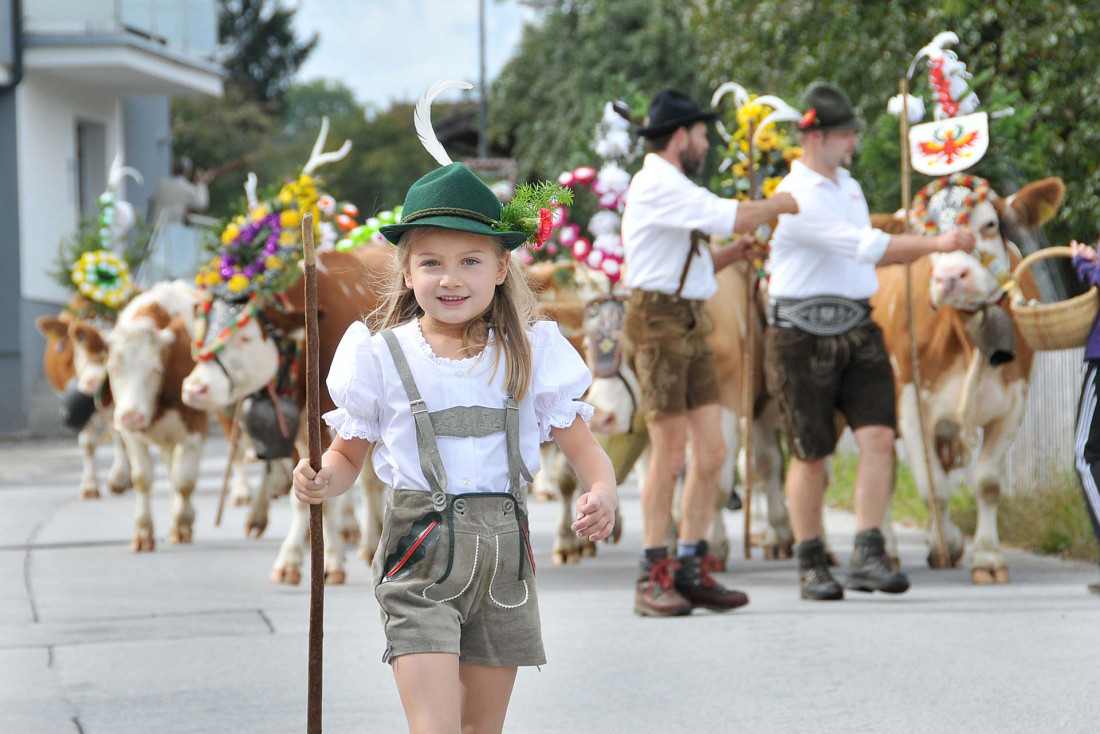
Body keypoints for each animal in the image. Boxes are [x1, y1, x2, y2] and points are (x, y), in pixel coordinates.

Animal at [107, 281, 210, 550]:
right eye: (112, 368)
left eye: (156, 369)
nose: (131, 416)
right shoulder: (130, 433)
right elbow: (142, 478)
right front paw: (143, 533)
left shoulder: (196, 426)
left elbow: (185, 480)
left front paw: (182, 524)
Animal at [178, 246, 389, 585]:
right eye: (204, 332)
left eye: (246, 337)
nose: (195, 388)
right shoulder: (303, 429)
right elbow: (302, 495)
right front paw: (290, 560)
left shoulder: (329, 422)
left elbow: (330, 497)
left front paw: (332, 562)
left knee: (371, 483)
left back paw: (370, 543)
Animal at [866, 174, 1064, 581]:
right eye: (921, 236)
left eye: (989, 224)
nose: (950, 278)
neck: (968, 334)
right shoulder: (911, 407)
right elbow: (933, 489)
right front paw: (951, 543)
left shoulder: (1013, 403)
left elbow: (986, 482)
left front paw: (987, 556)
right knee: (885, 474)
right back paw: (892, 549)